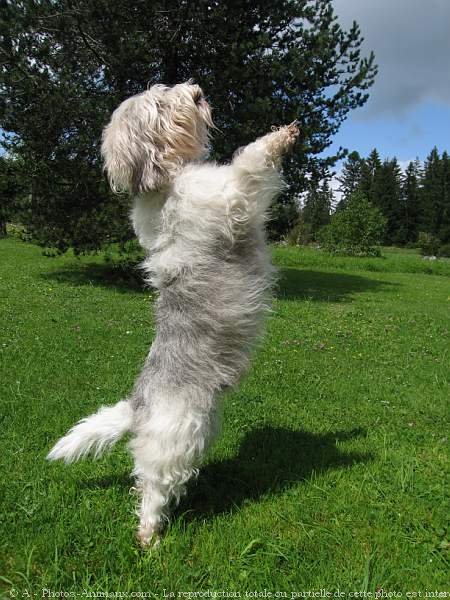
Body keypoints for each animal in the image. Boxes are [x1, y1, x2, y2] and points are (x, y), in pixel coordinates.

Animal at [46, 79, 298, 544]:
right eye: (161, 103)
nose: (195, 88)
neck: (164, 183)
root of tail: (136, 406)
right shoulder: (232, 195)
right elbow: (251, 161)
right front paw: (282, 136)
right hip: (175, 440)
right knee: (151, 485)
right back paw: (149, 536)